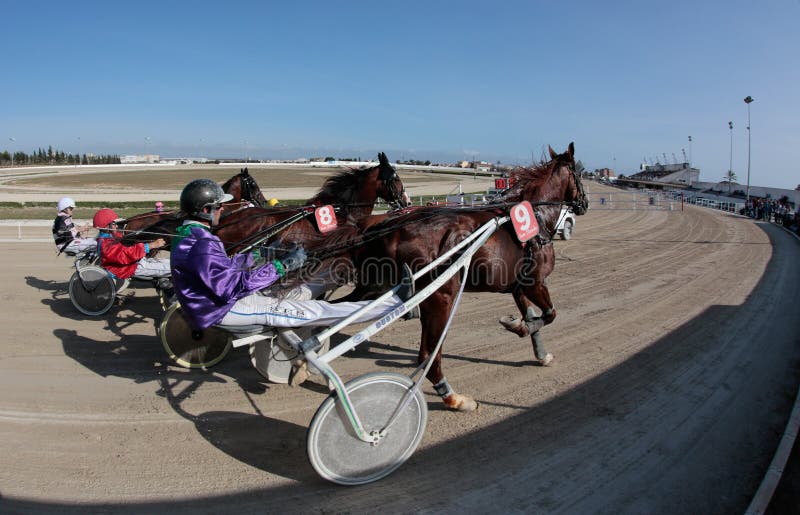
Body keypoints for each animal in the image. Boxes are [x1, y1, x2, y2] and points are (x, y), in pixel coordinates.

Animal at [346, 143, 584, 414]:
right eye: (580, 172)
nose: (584, 203)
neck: (536, 218)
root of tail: (391, 228)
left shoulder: (518, 286)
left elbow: (532, 315)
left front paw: (538, 350)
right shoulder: (536, 283)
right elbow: (549, 314)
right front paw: (521, 327)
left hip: (380, 287)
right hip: (440, 298)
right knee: (429, 354)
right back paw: (454, 398)